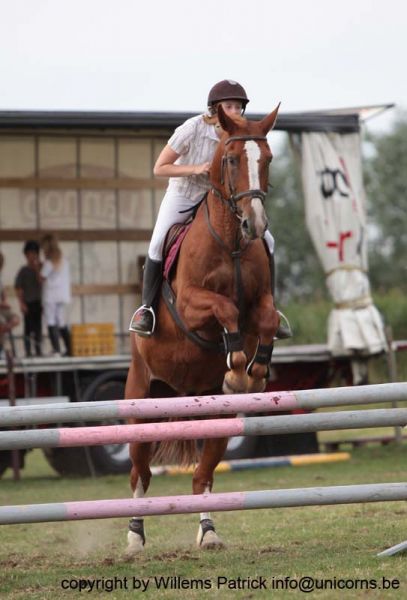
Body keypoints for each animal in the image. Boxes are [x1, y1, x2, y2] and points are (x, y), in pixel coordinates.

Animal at [126, 104, 282, 556]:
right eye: (230, 160)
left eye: (267, 159)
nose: (255, 224)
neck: (231, 242)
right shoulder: (191, 307)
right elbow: (224, 307)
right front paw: (237, 364)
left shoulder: (261, 301)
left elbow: (265, 319)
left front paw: (253, 372)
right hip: (140, 404)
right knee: (140, 475)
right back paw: (134, 536)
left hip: (214, 415)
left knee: (202, 476)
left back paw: (209, 531)